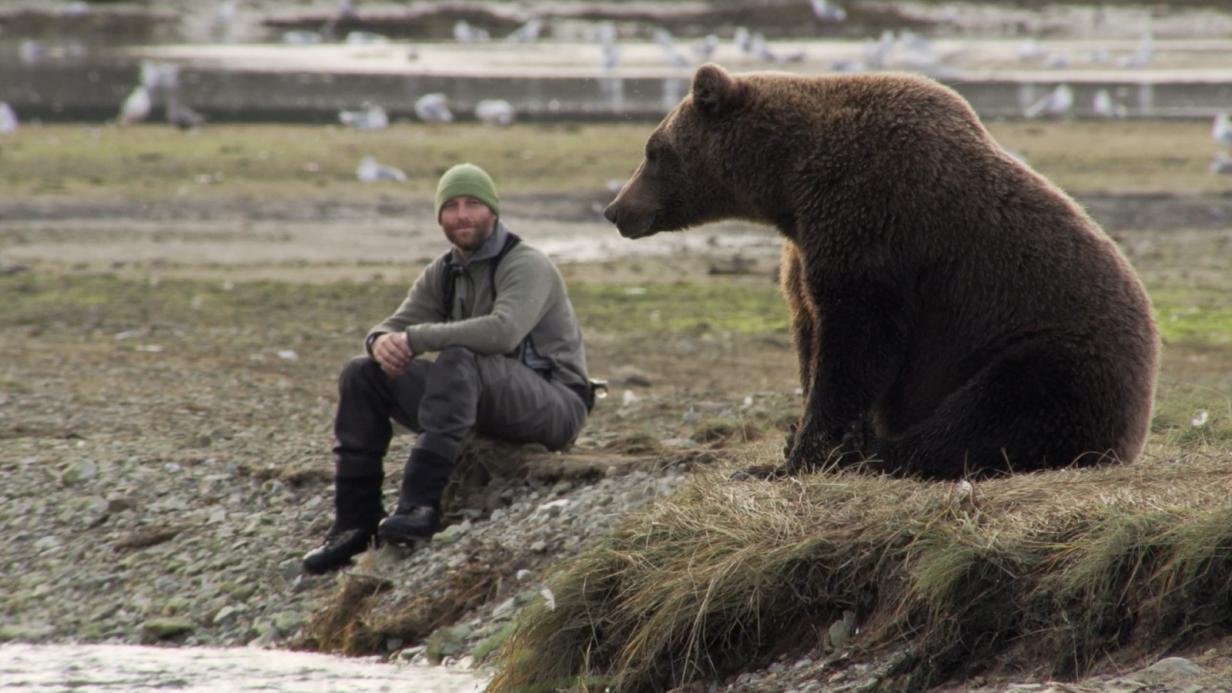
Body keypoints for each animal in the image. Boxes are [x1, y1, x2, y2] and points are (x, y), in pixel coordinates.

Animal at [603, 64, 1159, 480]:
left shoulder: (871, 220)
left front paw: (802, 455)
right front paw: (802, 438)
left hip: (1046, 356)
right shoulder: (806, 245)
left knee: (988, 417)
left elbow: (857, 341)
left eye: (653, 150)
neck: (788, 181)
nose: (615, 209)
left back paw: (877, 455)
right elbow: (810, 331)